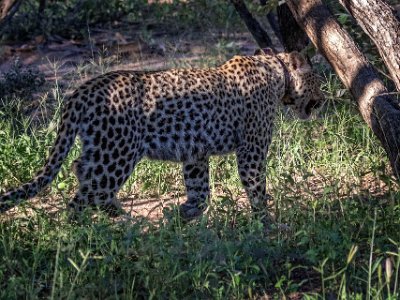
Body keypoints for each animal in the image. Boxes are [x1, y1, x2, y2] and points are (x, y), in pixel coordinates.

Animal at [0, 48, 324, 219]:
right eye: (317, 80)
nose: (323, 98)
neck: (277, 72)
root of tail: (81, 91)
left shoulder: (195, 152)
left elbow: (200, 188)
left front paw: (184, 215)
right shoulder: (251, 150)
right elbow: (256, 186)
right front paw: (264, 218)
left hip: (101, 146)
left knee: (82, 170)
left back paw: (115, 215)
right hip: (117, 153)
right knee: (87, 193)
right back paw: (95, 227)